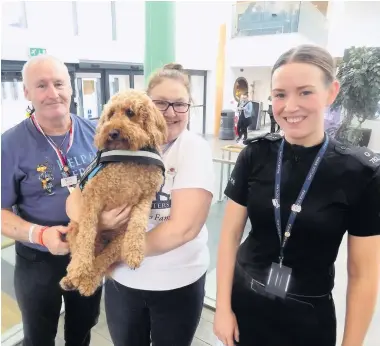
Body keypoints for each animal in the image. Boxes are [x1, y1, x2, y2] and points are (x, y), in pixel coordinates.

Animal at [59, 88, 166, 294]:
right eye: (110, 115)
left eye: (130, 112)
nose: (112, 132)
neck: (128, 157)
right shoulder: (92, 196)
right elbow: (86, 235)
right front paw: (79, 268)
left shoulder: (145, 198)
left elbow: (138, 223)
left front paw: (134, 252)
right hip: (74, 229)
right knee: (79, 249)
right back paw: (73, 276)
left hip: (117, 241)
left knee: (102, 260)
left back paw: (88, 281)